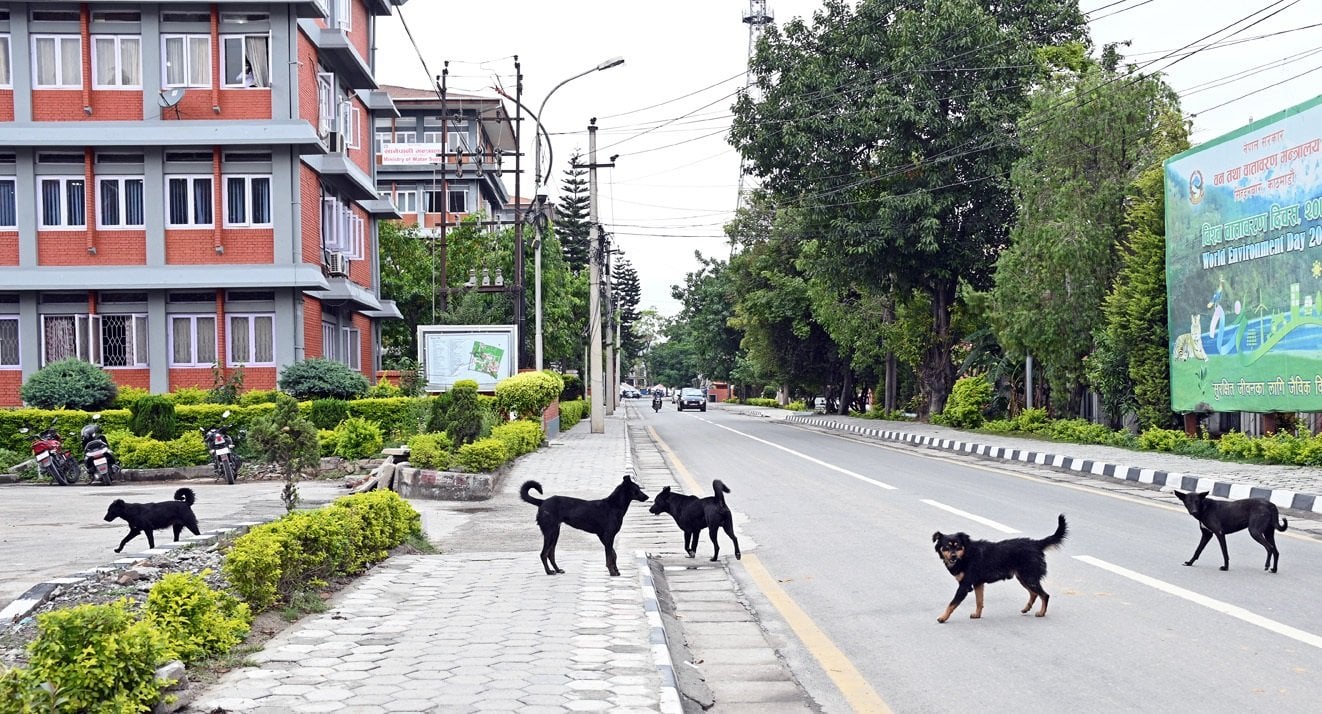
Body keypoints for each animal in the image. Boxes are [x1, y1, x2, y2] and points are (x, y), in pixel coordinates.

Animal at [518, 476, 647, 576]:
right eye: (636, 489)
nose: (647, 497)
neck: (614, 505)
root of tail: (542, 502)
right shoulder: (608, 536)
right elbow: (610, 556)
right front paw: (612, 572)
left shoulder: (603, 537)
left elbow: (613, 554)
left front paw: (616, 570)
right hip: (549, 532)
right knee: (544, 554)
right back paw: (549, 572)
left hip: (555, 532)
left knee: (550, 554)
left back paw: (557, 570)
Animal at [930, 513, 1062, 624]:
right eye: (946, 547)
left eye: (957, 546)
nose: (953, 556)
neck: (966, 554)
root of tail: (1036, 544)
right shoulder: (978, 583)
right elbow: (979, 601)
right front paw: (977, 615)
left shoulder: (964, 586)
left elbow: (952, 604)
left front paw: (943, 617)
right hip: (1023, 577)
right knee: (1034, 593)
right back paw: (1026, 608)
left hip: (1029, 577)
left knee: (1045, 595)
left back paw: (1041, 613)